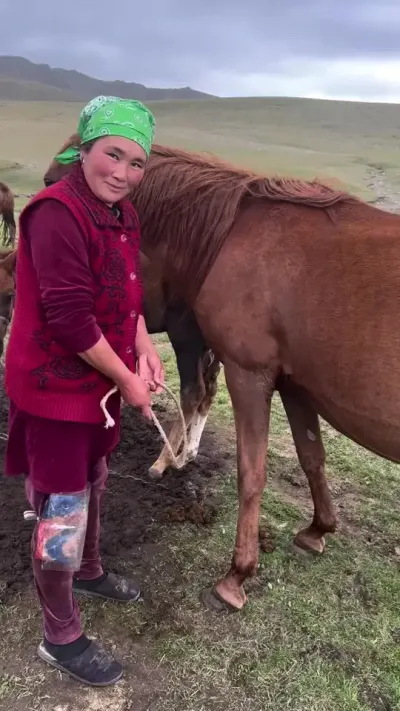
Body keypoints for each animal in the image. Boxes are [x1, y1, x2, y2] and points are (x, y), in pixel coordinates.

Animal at [44, 135, 222, 480]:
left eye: (50, 179)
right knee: (209, 390)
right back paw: (189, 452)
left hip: (188, 338)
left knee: (194, 392)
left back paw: (164, 460)